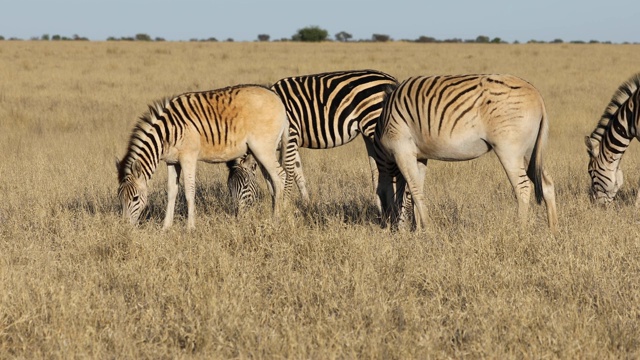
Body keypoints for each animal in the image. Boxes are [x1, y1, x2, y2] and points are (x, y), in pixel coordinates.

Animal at [116, 85, 288, 228]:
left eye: (135, 198)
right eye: (120, 198)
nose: (125, 227)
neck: (167, 132)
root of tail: (277, 98)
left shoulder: (188, 158)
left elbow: (189, 191)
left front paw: (190, 227)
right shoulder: (172, 162)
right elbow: (172, 191)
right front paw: (166, 228)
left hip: (262, 148)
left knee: (280, 175)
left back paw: (276, 219)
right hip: (260, 151)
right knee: (271, 180)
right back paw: (274, 212)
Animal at [228, 69, 402, 214]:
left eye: (245, 185)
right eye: (229, 186)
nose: (237, 215)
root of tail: (391, 80)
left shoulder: (291, 137)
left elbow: (288, 172)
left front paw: (283, 206)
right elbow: (294, 175)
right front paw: (303, 205)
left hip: (375, 127)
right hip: (369, 133)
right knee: (376, 169)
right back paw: (381, 209)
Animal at [372, 74, 556, 233]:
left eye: (378, 198)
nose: (384, 226)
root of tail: (536, 93)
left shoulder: (402, 149)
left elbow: (413, 190)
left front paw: (426, 229)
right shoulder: (420, 156)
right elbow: (415, 190)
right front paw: (418, 231)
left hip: (509, 149)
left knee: (522, 186)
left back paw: (520, 230)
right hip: (529, 151)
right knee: (546, 183)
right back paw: (552, 230)